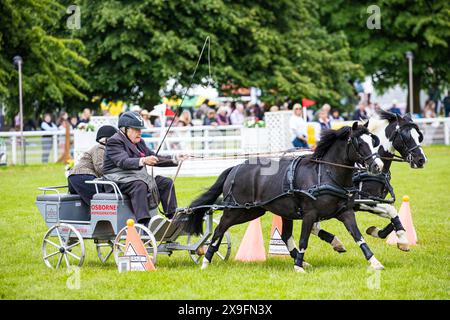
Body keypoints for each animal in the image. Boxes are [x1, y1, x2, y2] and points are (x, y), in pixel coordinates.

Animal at [174, 122, 384, 272]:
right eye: (359, 143)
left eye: (373, 141)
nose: (378, 166)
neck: (325, 173)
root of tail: (235, 168)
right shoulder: (309, 214)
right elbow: (304, 240)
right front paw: (298, 268)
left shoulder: (346, 212)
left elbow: (358, 236)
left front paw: (374, 262)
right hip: (238, 211)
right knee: (219, 230)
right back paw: (206, 261)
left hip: (260, 211)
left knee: (284, 235)